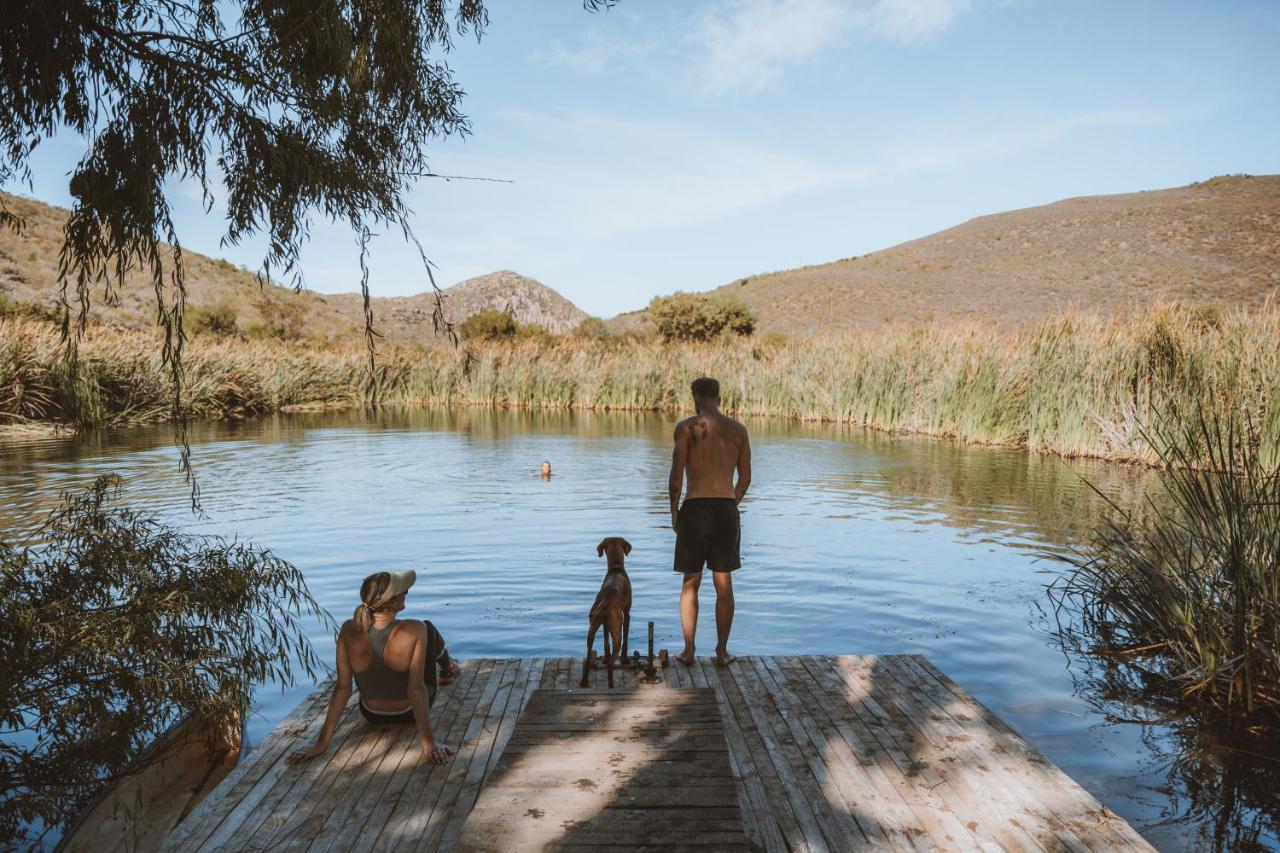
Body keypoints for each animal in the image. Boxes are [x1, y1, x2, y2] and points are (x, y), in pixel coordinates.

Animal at [583, 535, 632, 686]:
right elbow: (626, 637)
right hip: (617, 632)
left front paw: (604, 657)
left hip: (592, 629)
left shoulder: (605, 624)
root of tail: (605, 604)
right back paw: (611, 685)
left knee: (588, 657)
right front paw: (625, 659)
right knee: (612, 661)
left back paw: (584, 682)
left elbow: (605, 643)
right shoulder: (627, 614)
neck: (616, 567)